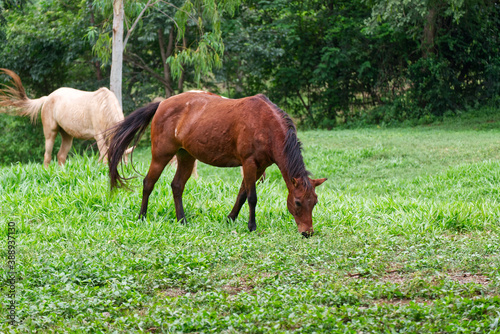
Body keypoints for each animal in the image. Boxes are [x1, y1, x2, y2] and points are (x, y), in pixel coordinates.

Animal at [0, 68, 131, 167]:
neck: (104, 106)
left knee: (61, 156)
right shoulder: (99, 136)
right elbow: (104, 154)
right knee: (47, 156)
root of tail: (47, 97)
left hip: (67, 135)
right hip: (50, 133)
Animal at [107, 91, 326, 236]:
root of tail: (161, 105)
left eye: (314, 202)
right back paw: (142, 217)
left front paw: (231, 218)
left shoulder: (260, 166)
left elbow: (242, 194)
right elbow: (252, 197)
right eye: (297, 202)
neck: (266, 125)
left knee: (177, 186)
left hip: (186, 156)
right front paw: (251, 226)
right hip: (161, 155)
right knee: (148, 183)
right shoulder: (249, 163)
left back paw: (182, 219)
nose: (307, 232)